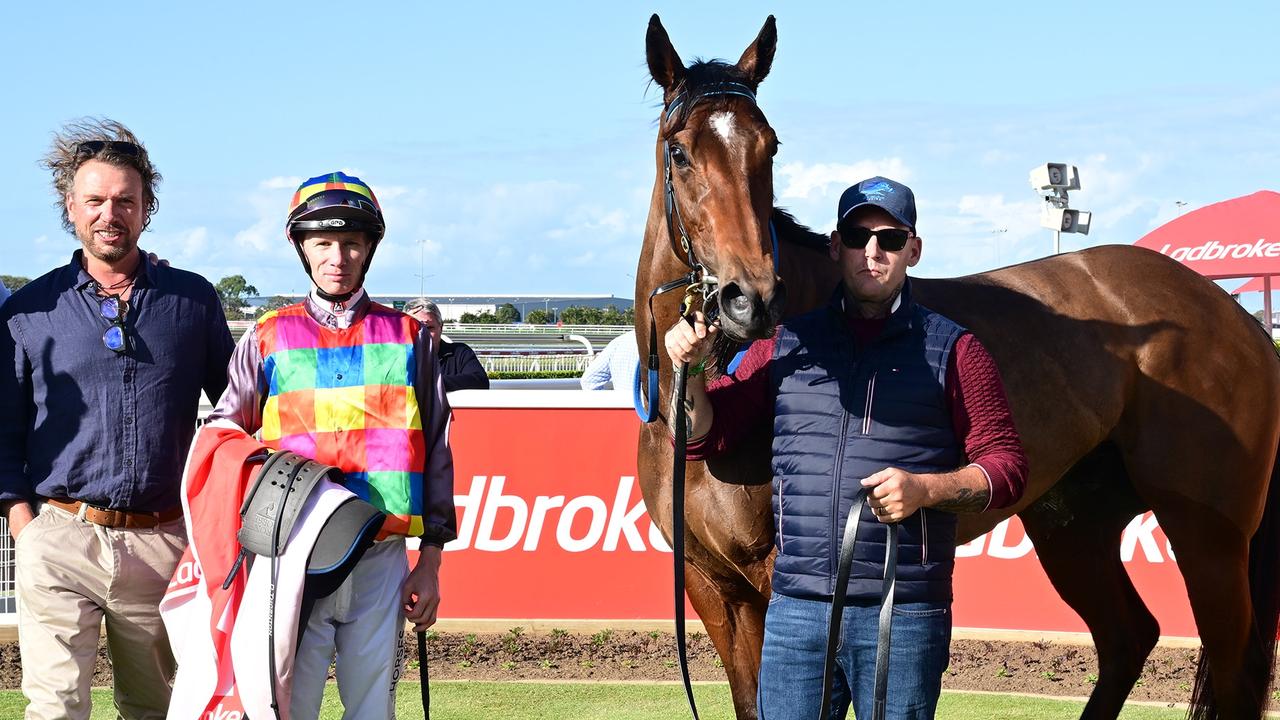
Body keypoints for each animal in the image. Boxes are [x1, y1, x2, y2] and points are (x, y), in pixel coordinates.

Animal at [634, 12, 1280, 717]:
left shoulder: (790, 584)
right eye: (678, 149)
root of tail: (1233, 312)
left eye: (769, 148)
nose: (749, 298)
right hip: (1073, 525)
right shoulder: (712, 587)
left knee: (1233, 668)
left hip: (1210, 539)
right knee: (1128, 634)